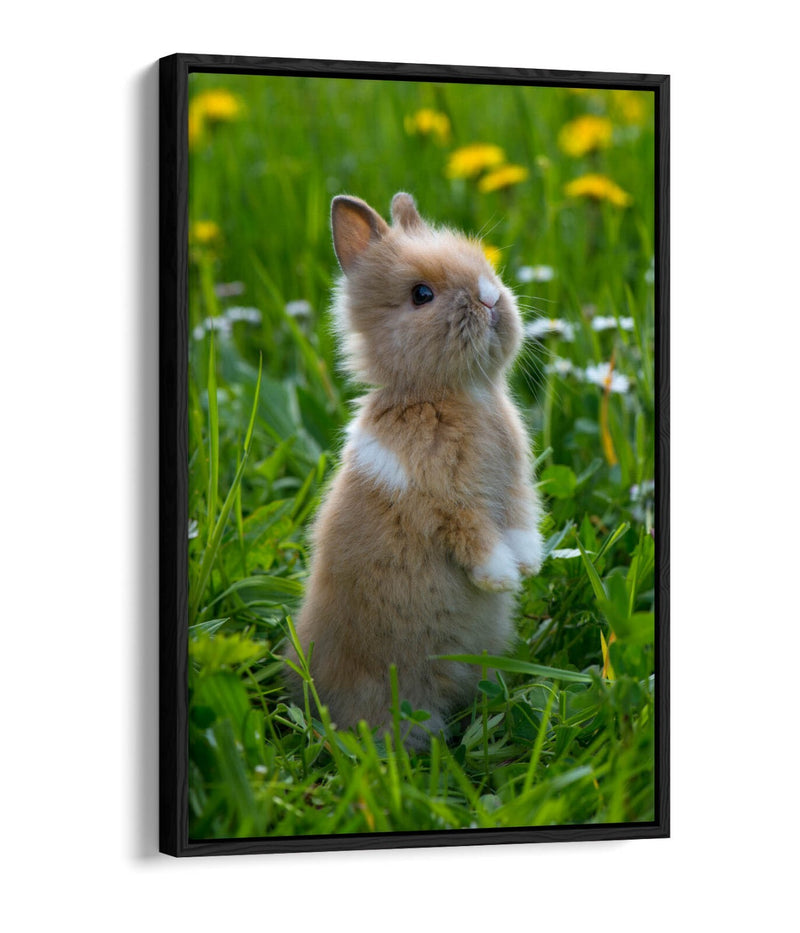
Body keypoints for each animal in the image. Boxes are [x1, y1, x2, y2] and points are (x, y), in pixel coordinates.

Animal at [285, 192, 543, 749]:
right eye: (421, 295)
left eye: (486, 265)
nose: (490, 297)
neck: (455, 393)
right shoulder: (441, 498)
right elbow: (475, 534)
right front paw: (500, 579)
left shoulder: (514, 487)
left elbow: (519, 521)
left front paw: (530, 566)